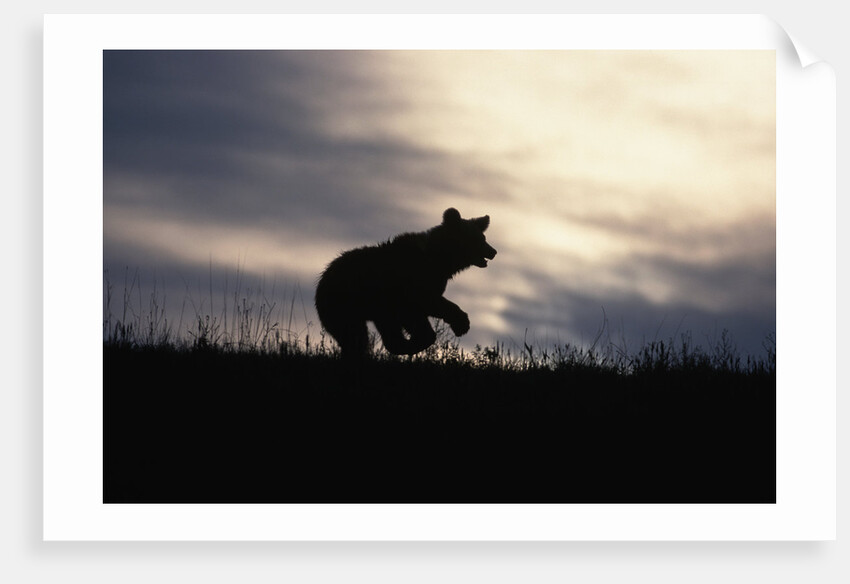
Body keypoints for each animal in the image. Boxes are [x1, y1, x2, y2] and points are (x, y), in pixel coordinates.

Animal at [315, 208, 497, 358]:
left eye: (483, 237)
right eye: (477, 239)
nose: (493, 251)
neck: (438, 260)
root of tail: (323, 278)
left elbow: (431, 305)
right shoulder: (410, 285)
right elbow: (424, 307)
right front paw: (459, 325)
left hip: (373, 310)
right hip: (345, 304)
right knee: (354, 336)